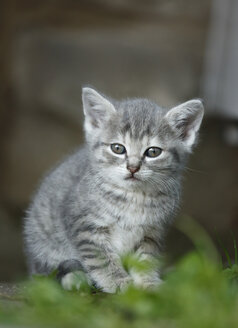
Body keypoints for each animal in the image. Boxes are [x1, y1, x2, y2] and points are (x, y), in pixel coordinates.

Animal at [23, 87, 204, 292]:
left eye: (153, 152)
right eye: (118, 148)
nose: (133, 167)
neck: (134, 197)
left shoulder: (152, 233)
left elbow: (146, 259)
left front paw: (148, 281)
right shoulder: (85, 227)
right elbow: (101, 258)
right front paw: (119, 282)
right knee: (47, 273)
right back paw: (74, 278)